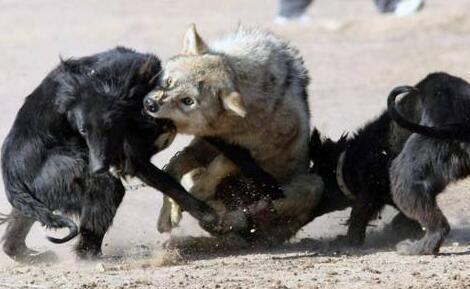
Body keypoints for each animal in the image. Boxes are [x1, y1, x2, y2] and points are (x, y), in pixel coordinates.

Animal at [144, 24, 324, 236]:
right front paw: (169, 212)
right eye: (169, 82)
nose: (150, 104)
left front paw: (196, 194)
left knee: (257, 214)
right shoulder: (206, 143)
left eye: (188, 101)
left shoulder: (266, 150)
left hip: (314, 183)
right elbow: (174, 167)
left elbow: (221, 163)